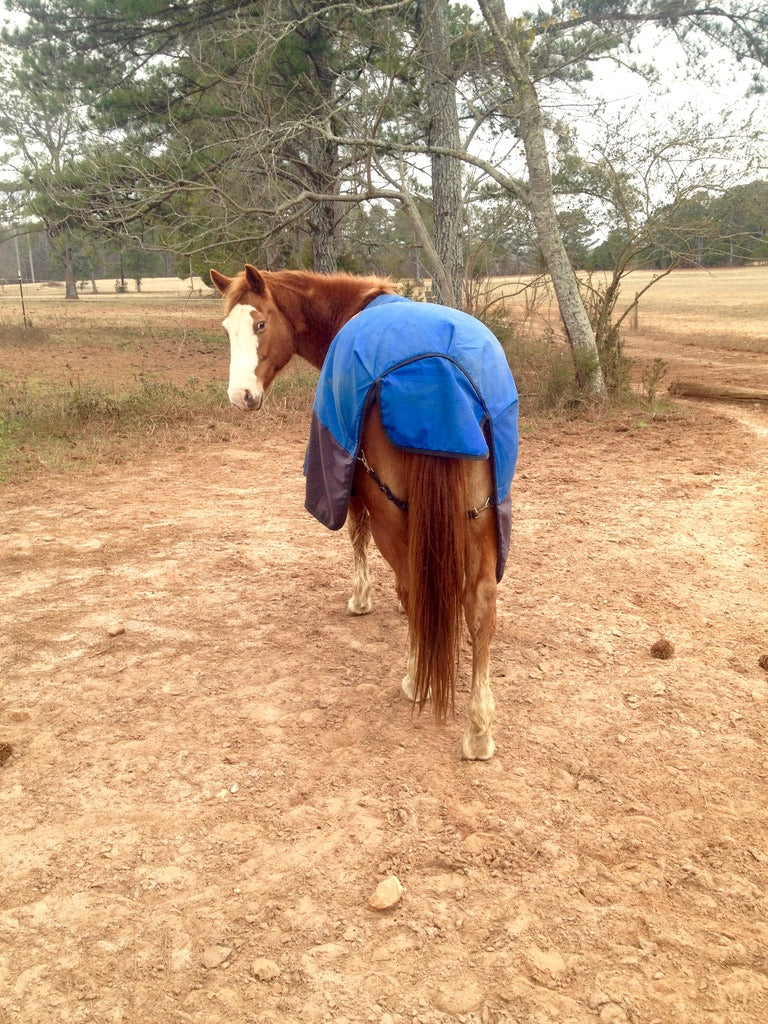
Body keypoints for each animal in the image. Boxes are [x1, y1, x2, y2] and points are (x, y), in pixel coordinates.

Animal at [210, 265, 519, 759]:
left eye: (259, 324)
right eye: (226, 330)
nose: (241, 396)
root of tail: (444, 370)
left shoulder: (356, 488)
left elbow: (357, 537)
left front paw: (361, 599)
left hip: (395, 512)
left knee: (412, 586)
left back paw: (414, 680)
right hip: (484, 516)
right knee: (481, 609)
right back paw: (479, 729)